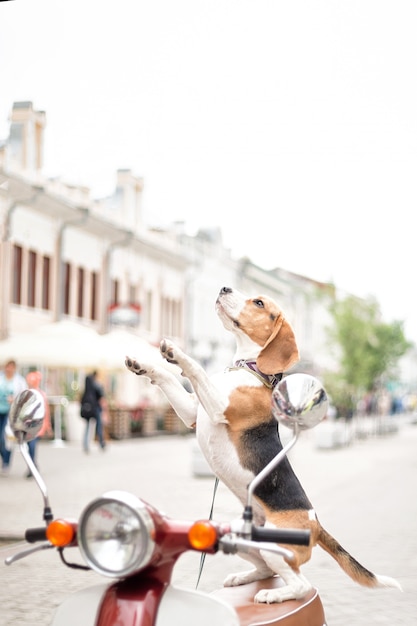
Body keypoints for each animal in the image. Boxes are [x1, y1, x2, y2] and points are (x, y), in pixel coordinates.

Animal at [124, 286, 400, 600]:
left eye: (258, 302)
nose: (225, 287)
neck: (249, 368)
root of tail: (316, 525)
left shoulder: (218, 407)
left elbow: (196, 369)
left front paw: (176, 353)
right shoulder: (192, 413)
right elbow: (169, 378)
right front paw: (144, 365)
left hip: (276, 549)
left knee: (300, 584)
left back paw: (273, 595)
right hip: (234, 534)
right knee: (267, 571)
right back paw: (242, 577)